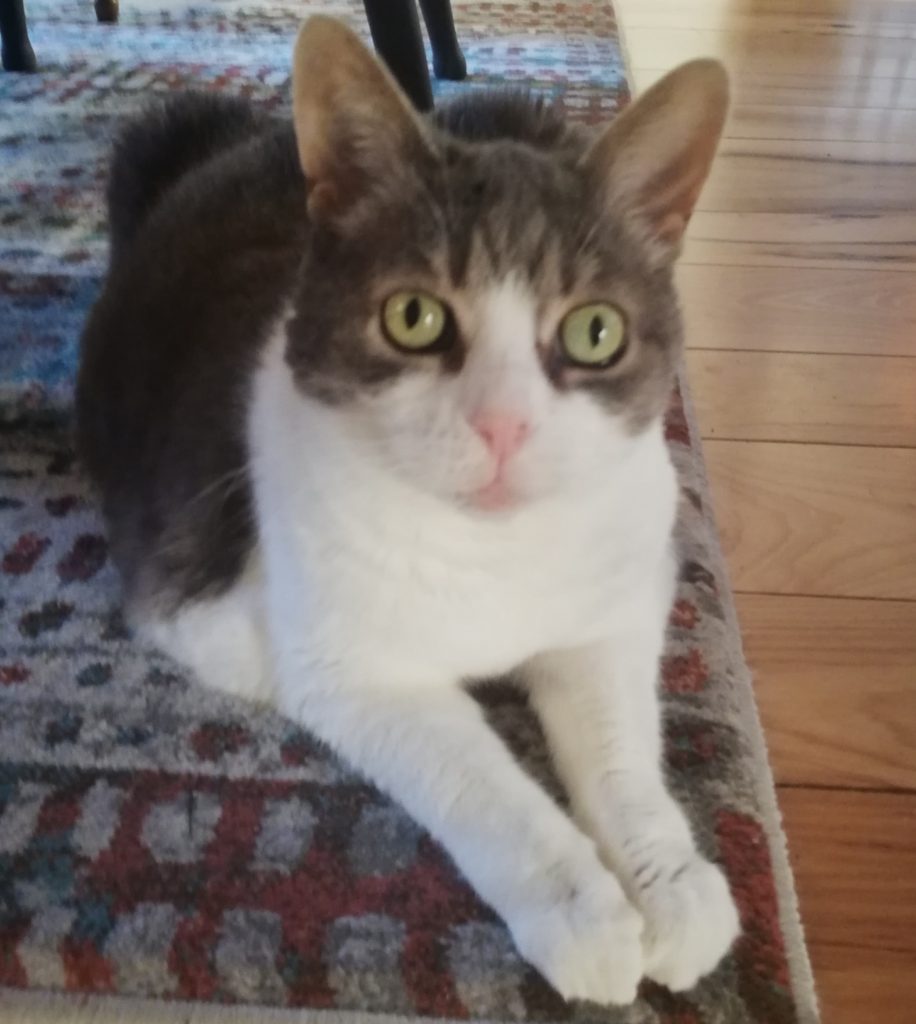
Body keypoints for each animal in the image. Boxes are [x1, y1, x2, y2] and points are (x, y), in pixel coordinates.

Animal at [75, 14, 740, 1007]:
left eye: (595, 332)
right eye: (414, 318)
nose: (502, 424)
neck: (491, 554)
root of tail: (245, 137)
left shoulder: (618, 604)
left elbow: (622, 746)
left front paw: (670, 886)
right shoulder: (342, 668)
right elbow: (484, 785)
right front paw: (583, 910)